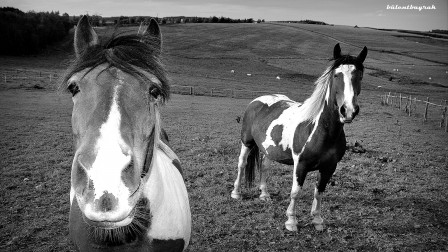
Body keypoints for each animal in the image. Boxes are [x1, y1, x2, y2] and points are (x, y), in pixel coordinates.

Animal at [231, 42, 368, 230]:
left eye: (359, 75)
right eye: (336, 75)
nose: (347, 110)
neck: (321, 131)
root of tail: (257, 101)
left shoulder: (329, 167)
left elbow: (319, 191)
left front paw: (317, 220)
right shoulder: (300, 165)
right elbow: (295, 192)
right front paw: (291, 221)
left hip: (268, 149)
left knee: (264, 167)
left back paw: (265, 195)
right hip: (247, 142)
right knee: (242, 164)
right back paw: (236, 193)